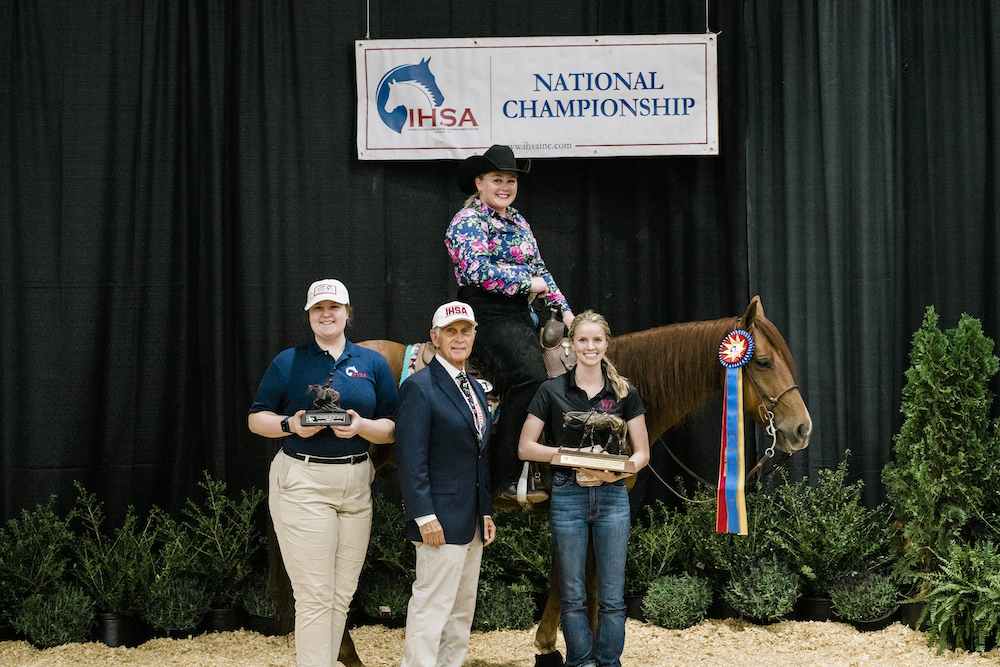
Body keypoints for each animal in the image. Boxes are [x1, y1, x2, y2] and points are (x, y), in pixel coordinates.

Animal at [328, 298, 812, 667]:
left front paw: (547, 646)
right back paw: (346, 655)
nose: (802, 428)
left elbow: (565, 574)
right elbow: (589, 579)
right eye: (763, 361)